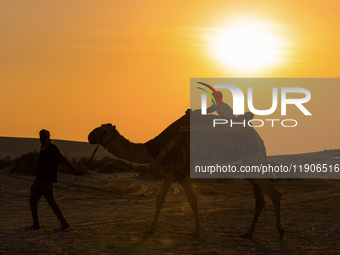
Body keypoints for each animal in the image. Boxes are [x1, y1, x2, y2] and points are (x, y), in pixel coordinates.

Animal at [87, 110, 284, 239]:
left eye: (104, 131)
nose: (90, 136)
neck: (151, 150)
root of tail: (258, 137)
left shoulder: (172, 172)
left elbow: (162, 199)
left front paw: (150, 229)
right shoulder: (179, 174)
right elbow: (190, 200)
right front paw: (196, 230)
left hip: (251, 162)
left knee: (275, 193)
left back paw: (280, 231)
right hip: (249, 165)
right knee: (260, 199)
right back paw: (248, 233)